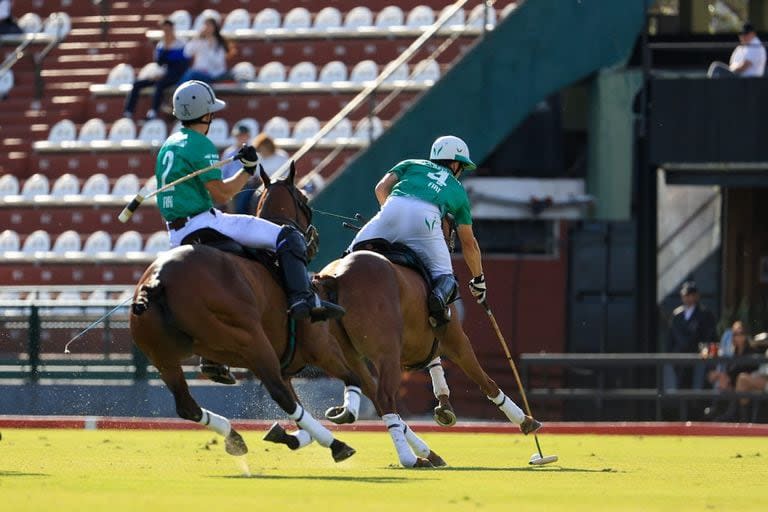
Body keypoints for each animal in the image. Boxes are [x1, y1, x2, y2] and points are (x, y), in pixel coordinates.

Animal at [130, 165, 360, 464]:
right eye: (304, 199)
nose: (314, 240)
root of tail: (156, 281)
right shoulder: (321, 348)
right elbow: (351, 378)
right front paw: (344, 414)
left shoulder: (288, 365)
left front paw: (289, 435)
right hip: (251, 341)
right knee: (280, 395)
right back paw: (336, 444)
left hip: (163, 357)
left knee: (187, 407)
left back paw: (234, 436)